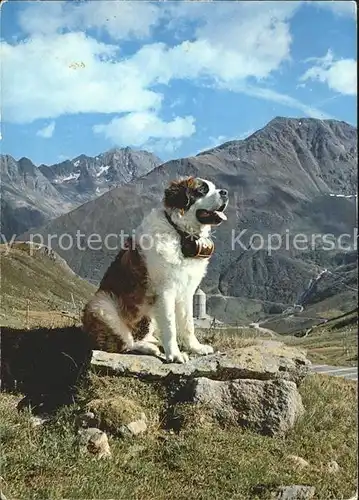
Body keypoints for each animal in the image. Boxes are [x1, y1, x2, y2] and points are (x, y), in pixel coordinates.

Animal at [82, 177, 229, 364]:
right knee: (125, 343)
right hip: (101, 304)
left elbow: (188, 324)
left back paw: (154, 342)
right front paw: (175, 354)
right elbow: (170, 325)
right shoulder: (165, 291)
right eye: (202, 190)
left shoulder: (186, 292)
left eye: (214, 187)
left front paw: (196, 347)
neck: (180, 234)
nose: (225, 192)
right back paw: (150, 348)